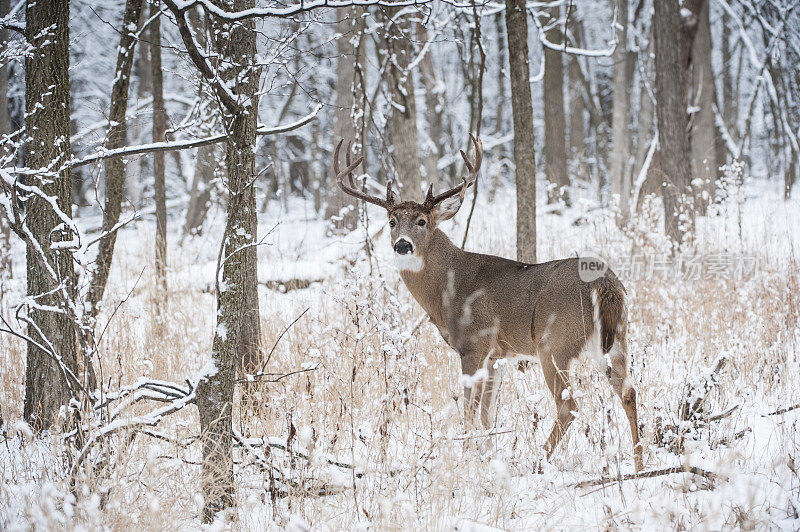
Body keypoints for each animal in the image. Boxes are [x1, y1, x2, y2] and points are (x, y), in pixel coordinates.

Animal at [332, 136, 644, 470]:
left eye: (421, 221)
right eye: (391, 221)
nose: (402, 245)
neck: (447, 290)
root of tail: (605, 284)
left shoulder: (474, 345)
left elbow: (469, 411)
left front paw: (468, 458)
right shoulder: (497, 355)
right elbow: (487, 414)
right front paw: (489, 456)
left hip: (554, 342)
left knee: (568, 405)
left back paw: (539, 462)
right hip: (617, 338)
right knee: (629, 391)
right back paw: (640, 462)